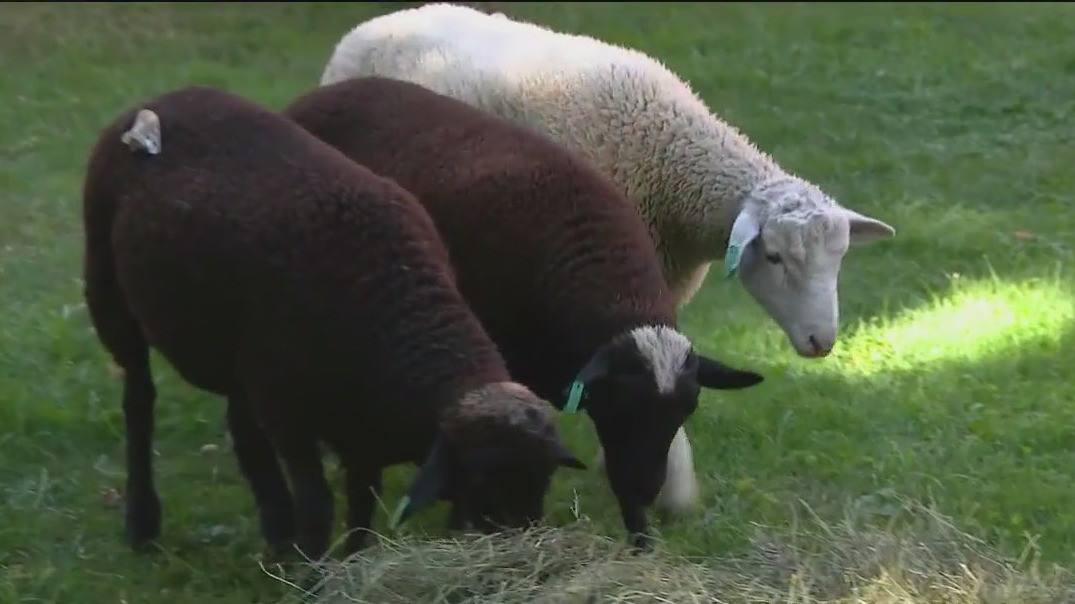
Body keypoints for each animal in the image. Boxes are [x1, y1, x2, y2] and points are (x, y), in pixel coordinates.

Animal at [81, 85, 586, 561]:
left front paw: (350, 562)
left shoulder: (359, 420)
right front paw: (314, 576)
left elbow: (362, 502)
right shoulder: (287, 412)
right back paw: (143, 524)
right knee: (139, 404)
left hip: (240, 355)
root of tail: (160, 101)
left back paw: (277, 531)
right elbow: (319, 505)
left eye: (543, 481)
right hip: (109, 295)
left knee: (240, 425)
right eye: (481, 480)